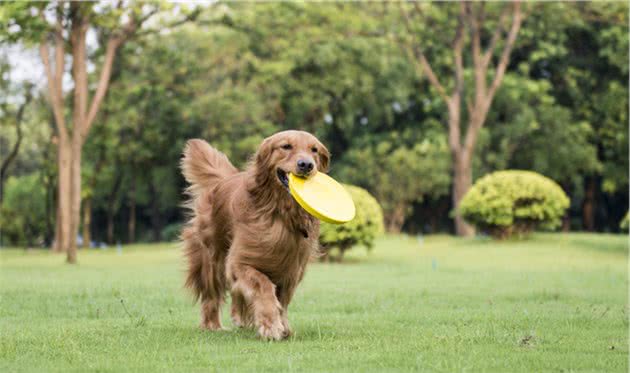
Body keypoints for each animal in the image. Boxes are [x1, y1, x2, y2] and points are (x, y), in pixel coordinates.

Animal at [180, 130, 330, 340]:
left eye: (314, 150)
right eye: (286, 146)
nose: (307, 164)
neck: (281, 213)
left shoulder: (292, 270)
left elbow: (282, 300)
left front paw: (281, 325)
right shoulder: (239, 262)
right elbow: (263, 285)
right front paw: (271, 326)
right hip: (212, 259)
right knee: (212, 295)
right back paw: (213, 325)